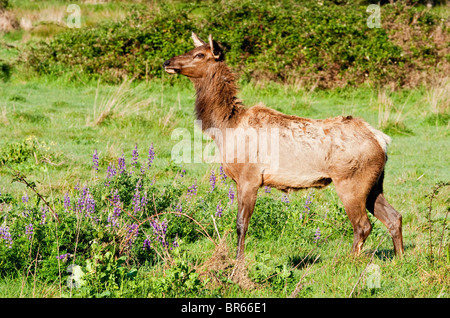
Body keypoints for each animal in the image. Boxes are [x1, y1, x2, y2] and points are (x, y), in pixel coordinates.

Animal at [163, 33, 404, 260]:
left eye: (199, 55)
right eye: (192, 49)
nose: (167, 61)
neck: (225, 127)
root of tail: (381, 140)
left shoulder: (250, 177)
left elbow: (241, 224)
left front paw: (237, 263)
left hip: (350, 180)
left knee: (362, 225)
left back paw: (347, 261)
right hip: (374, 182)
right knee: (394, 217)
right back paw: (399, 259)